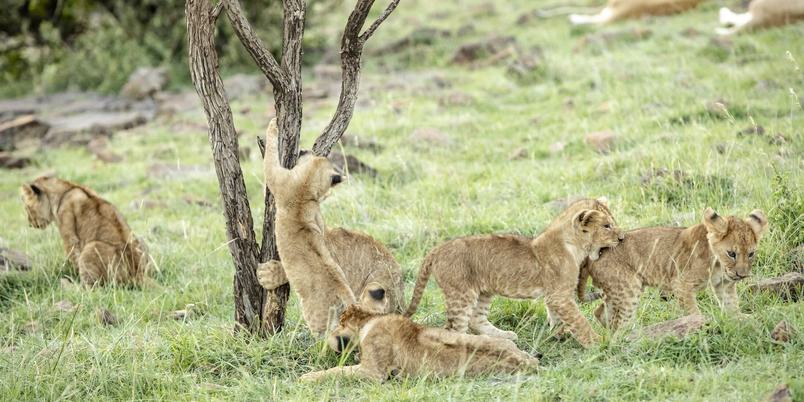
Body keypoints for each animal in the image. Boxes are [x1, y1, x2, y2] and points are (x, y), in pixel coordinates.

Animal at [20, 175, 149, 287]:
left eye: (27, 208)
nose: (30, 224)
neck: (66, 189)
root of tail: (137, 274)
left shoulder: (69, 236)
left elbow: (73, 257)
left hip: (91, 247)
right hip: (139, 240)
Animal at [299, 304, 539, 382]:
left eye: (339, 323)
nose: (328, 334)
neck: (370, 321)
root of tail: (525, 362)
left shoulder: (373, 373)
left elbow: (337, 371)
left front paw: (307, 377)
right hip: (499, 341)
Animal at [404, 205, 623, 348]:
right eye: (607, 226)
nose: (622, 238)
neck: (574, 245)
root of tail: (437, 249)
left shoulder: (554, 294)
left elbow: (557, 316)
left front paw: (558, 334)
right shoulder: (559, 294)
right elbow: (579, 320)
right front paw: (597, 342)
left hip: (483, 291)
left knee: (476, 319)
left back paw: (504, 338)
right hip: (461, 293)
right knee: (453, 329)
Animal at [578, 208, 769, 331]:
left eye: (751, 254)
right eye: (732, 253)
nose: (741, 275)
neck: (718, 263)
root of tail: (592, 256)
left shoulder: (724, 285)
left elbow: (731, 304)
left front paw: (741, 319)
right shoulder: (681, 284)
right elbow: (693, 312)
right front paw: (701, 325)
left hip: (617, 290)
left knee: (600, 312)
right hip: (629, 287)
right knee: (619, 323)